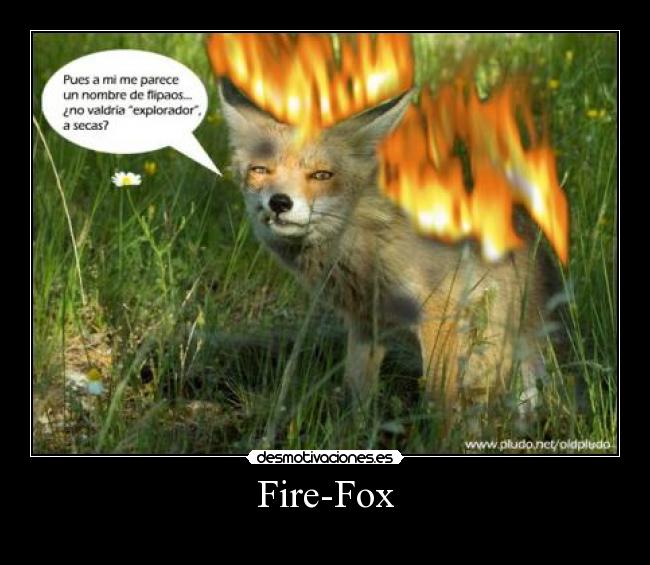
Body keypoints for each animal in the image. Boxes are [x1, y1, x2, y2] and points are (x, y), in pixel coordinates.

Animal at [218, 77, 557, 428]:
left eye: (322, 175)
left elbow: (440, 401)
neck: (367, 243)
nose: (280, 202)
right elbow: (356, 395)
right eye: (261, 170)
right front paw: (354, 432)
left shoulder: (441, 311)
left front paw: (440, 437)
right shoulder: (366, 323)